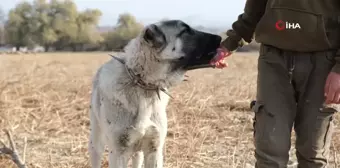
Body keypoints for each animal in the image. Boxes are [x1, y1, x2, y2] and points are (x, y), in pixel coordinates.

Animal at [88, 20, 220, 168]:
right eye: (185, 31)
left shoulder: (154, 149)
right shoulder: (118, 152)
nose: (220, 38)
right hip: (96, 142)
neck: (141, 84)